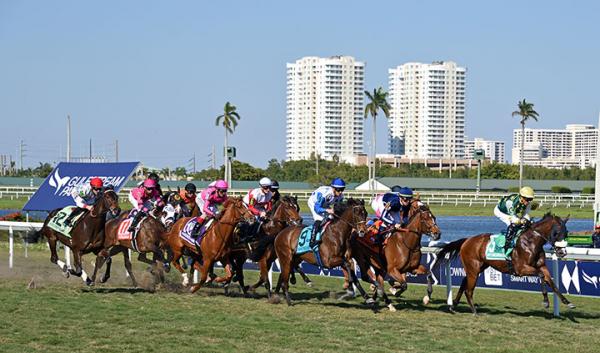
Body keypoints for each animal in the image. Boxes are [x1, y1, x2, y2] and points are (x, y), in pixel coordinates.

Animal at [436, 212, 572, 314]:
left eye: (566, 233)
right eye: (556, 233)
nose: (562, 252)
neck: (531, 242)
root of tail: (467, 240)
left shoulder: (541, 266)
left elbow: (551, 282)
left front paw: (567, 302)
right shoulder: (521, 269)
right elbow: (541, 276)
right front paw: (545, 301)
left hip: (478, 268)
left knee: (464, 283)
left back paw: (453, 306)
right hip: (473, 269)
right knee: (468, 290)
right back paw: (474, 311)